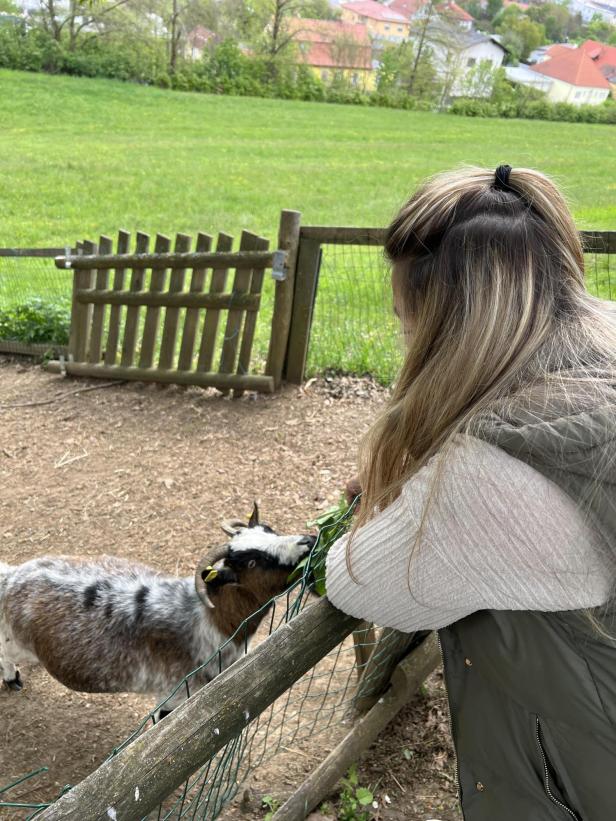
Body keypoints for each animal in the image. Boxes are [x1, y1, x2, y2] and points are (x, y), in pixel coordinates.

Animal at [0, 502, 316, 716]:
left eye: (269, 530)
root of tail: (12, 577)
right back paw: (11, 678)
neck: (207, 618)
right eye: (252, 562)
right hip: (15, 641)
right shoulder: (174, 694)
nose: (309, 541)